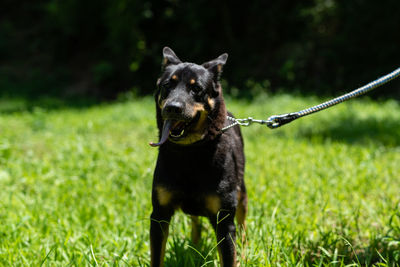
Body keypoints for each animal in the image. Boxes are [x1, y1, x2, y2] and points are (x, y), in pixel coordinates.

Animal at [149, 47, 245, 266]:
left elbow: (229, 255)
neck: (189, 152)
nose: (173, 107)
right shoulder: (159, 214)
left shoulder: (224, 220)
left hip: (241, 190)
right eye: (167, 85)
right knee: (195, 221)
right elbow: (157, 256)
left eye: (196, 89)